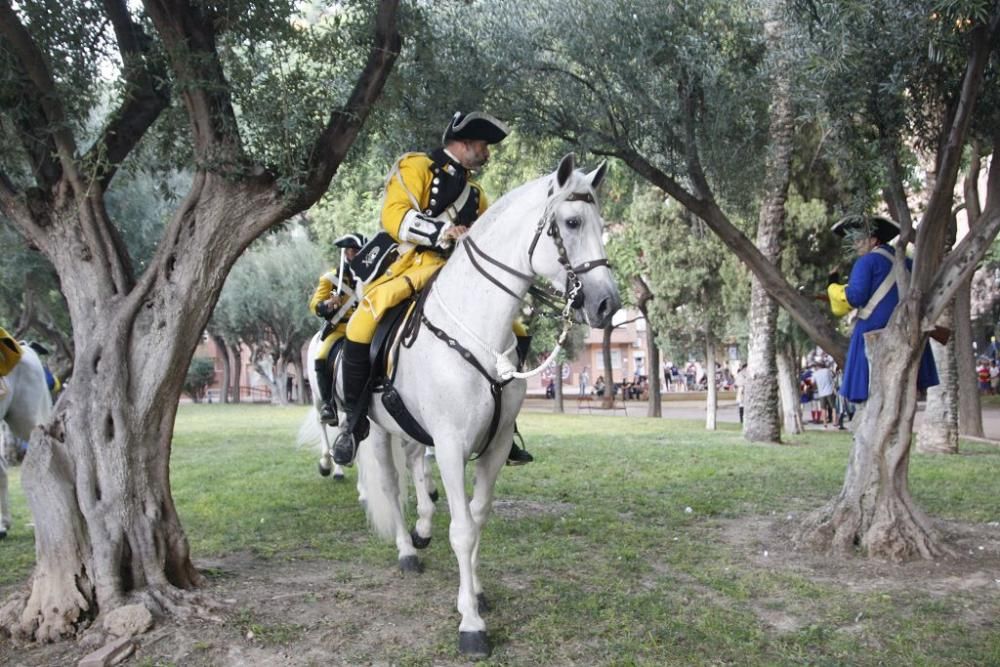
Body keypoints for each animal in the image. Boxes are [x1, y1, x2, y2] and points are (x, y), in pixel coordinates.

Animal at [350, 155, 616, 656]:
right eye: (572, 222)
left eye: (602, 224)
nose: (608, 303)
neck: (477, 331)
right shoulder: (451, 446)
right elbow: (461, 529)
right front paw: (470, 623)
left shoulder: (494, 446)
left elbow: (476, 519)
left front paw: (473, 592)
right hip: (374, 431)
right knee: (392, 488)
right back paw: (406, 549)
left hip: (410, 431)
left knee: (415, 473)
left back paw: (421, 531)